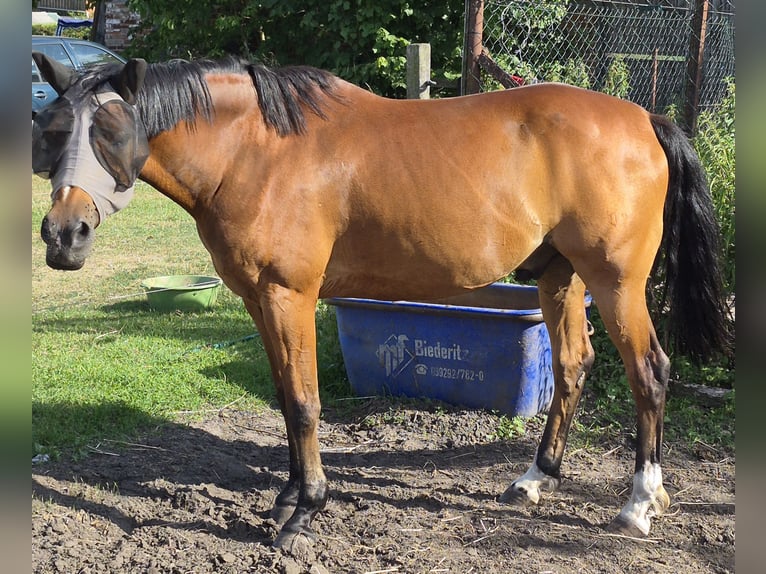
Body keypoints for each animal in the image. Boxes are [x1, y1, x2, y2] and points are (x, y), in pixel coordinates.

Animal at [32, 52, 731, 550]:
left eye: (114, 131)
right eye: (56, 129)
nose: (64, 236)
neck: (256, 152)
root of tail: (644, 119)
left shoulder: (289, 297)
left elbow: (307, 404)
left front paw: (304, 513)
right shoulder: (260, 301)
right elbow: (286, 399)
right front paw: (287, 498)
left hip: (617, 283)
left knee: (650, 373)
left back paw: (639, 503)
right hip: (560, 276)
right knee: (572, 366)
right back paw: (535, 480)